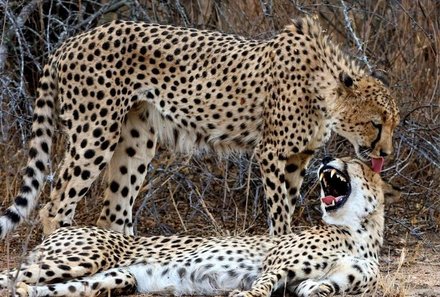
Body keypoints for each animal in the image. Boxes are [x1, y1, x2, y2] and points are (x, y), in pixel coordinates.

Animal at [0, 16, 398, 238]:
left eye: (392, 124)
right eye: (376, 124)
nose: (386, 154)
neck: (325, 89)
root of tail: (70, 41)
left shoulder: (298, 158)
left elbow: (290, 201)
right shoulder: (271, 153)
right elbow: (280, 210)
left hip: (135, 143)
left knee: (112, 212)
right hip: (94, 134)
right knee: (54, 208)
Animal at [0, 156, 398, 294]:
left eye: (354, 162)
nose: (325, 160)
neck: (356, 231)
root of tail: (66, 227)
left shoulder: (330, 282)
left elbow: (320, 287)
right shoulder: (275, 266)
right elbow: (262, 285)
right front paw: (244, 295)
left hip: (115, 277)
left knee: (33, 288)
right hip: (83, 257)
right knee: (13, 274)